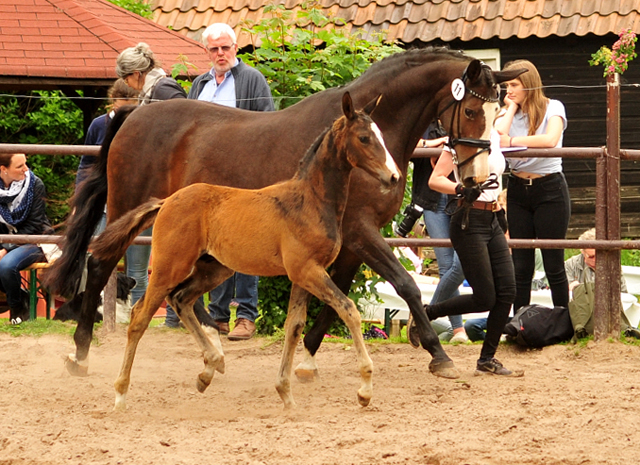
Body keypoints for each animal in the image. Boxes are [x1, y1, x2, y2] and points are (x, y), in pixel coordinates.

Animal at [90, 92, 400, 408]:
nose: (394, 177)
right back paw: (120, 393)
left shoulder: (304, 275)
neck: (310, 200)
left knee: (181, 299)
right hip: (169, 266)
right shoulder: (308, 271)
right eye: (364, 137)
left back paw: (209, 368)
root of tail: (165, 202)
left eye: (380, 135)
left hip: (213, 268)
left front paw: (286, 395)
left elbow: (294, 326)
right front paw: (365, 389)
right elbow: (348, 310)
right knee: (140, 316)